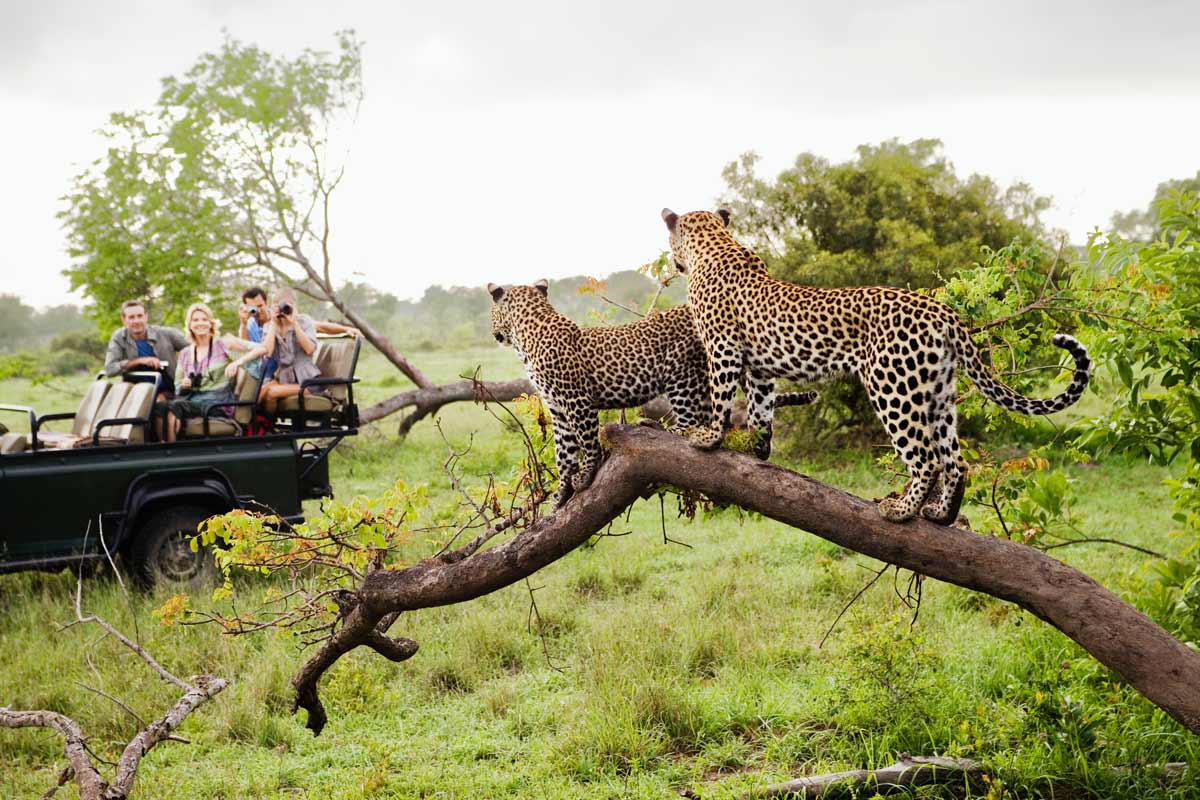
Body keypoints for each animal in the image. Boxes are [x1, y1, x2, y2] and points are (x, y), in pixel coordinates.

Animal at [487, 281, 816, 506]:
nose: (493, 333)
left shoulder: (576, 400)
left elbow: (587, 442)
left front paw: (586, 475)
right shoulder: (557, 408)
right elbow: (564, 452)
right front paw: (560, 494)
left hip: (682, 376)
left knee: (691, 425)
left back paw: (659, 427)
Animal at [662, 208, 1094, 525]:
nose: (673, 263)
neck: (715, 244)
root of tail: (944, 313)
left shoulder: (723, 348)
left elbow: (722, 396)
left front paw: (708, 438)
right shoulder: (761, 368)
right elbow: (761, 409)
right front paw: (757, 448)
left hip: (893, 387)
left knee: (927, 459)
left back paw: (901, 511)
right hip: (938, 393)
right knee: (955, 461)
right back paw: (940, 514)